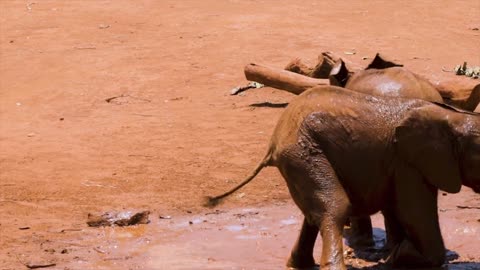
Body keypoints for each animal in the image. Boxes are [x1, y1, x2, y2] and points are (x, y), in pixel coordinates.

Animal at [207, 86, 480, 270]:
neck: (452, 117)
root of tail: (274, 140)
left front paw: (394, 256)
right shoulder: (409, 164)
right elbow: (414, 213)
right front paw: (398, 257)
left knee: (313, 214)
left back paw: (298, 264)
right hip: (303, 152)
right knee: (335, 206)